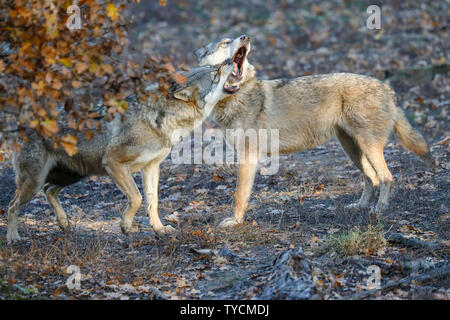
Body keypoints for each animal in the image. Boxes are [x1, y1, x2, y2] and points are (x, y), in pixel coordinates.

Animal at [6, 57, 236, 244]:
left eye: (214, 66)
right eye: (215, 74)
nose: (229, 60)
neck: (161, 120)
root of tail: (23, 124)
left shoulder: (151, 167)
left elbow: (153, 202)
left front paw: (159, 230)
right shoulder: (113, 163)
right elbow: (137, 198)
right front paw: (125, 226)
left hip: (73, 176)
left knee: (49, 190)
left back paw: (64, 224)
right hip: (35, 182)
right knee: (12, 205)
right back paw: (13, 238)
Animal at [194, 35, 432, 228]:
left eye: (230, 40)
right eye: (225, 42)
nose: (245, 36)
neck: (236, 95)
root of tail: (388, 88)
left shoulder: (248, 158)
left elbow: (239, 196)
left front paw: (235, 221)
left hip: (367, 146)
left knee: (387, 177)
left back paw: (379, 210)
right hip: (353, 149)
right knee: (372, 179)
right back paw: (360, 207)